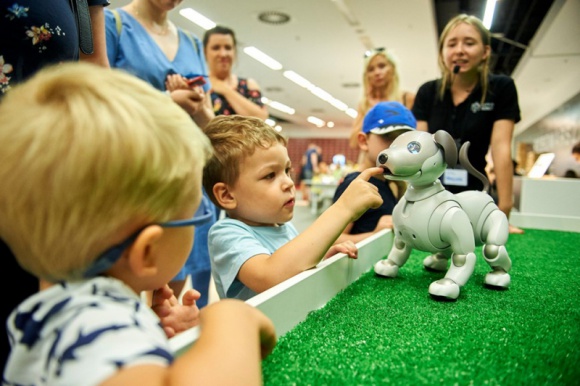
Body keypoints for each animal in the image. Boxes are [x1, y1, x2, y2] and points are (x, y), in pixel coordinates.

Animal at [374, 130, 510, 302]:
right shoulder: (401, 235)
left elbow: (462, 257)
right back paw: (435, 261)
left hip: (493, 217)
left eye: (414, 147)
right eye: (392, 145)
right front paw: (388, 265)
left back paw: (498, 277)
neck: (419, 196)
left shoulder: (454, 216)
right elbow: (399, 248)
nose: (383, 156)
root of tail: (484, 194)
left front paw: (446, 285)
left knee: (492, 249)